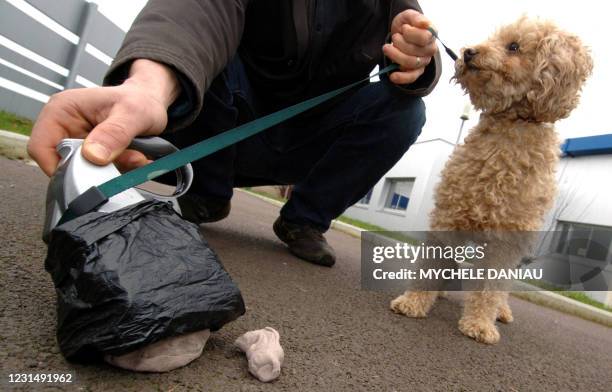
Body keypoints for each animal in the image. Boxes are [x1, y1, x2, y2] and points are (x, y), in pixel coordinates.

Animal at [390, 16, 592, 344]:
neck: (509, 126)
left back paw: (501, 311)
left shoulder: (506, 240)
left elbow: (490, 286)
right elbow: (433, 263)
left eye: (514, 46)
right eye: (493, 39)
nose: (468, 52)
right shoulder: (450, 216)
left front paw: (480, 324)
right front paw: (415, 301)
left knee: (503, 288)